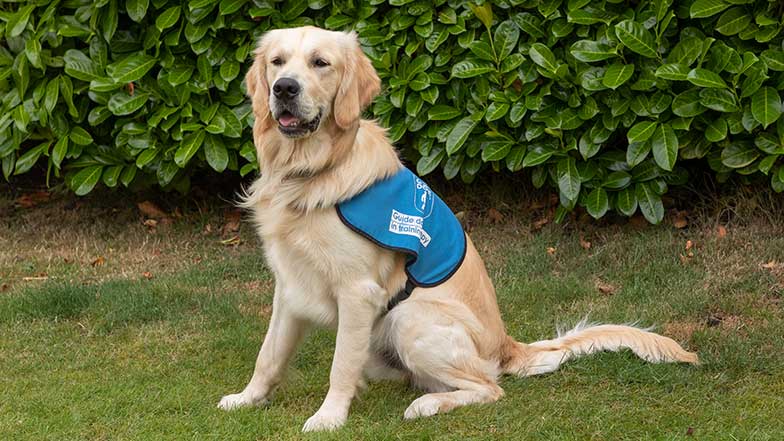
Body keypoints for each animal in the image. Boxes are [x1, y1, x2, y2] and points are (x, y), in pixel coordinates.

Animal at [216, 26, 700, 430]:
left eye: (320, 63)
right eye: (277, 62)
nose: (284, 88)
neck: (310, 173)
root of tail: (507, 345)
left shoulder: (358, 291)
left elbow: (339, 366)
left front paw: (329, 417)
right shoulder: (290, 285)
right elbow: (269, 354)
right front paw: (247, 398)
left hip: (409, 317)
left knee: (487, 387)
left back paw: (427, 405)